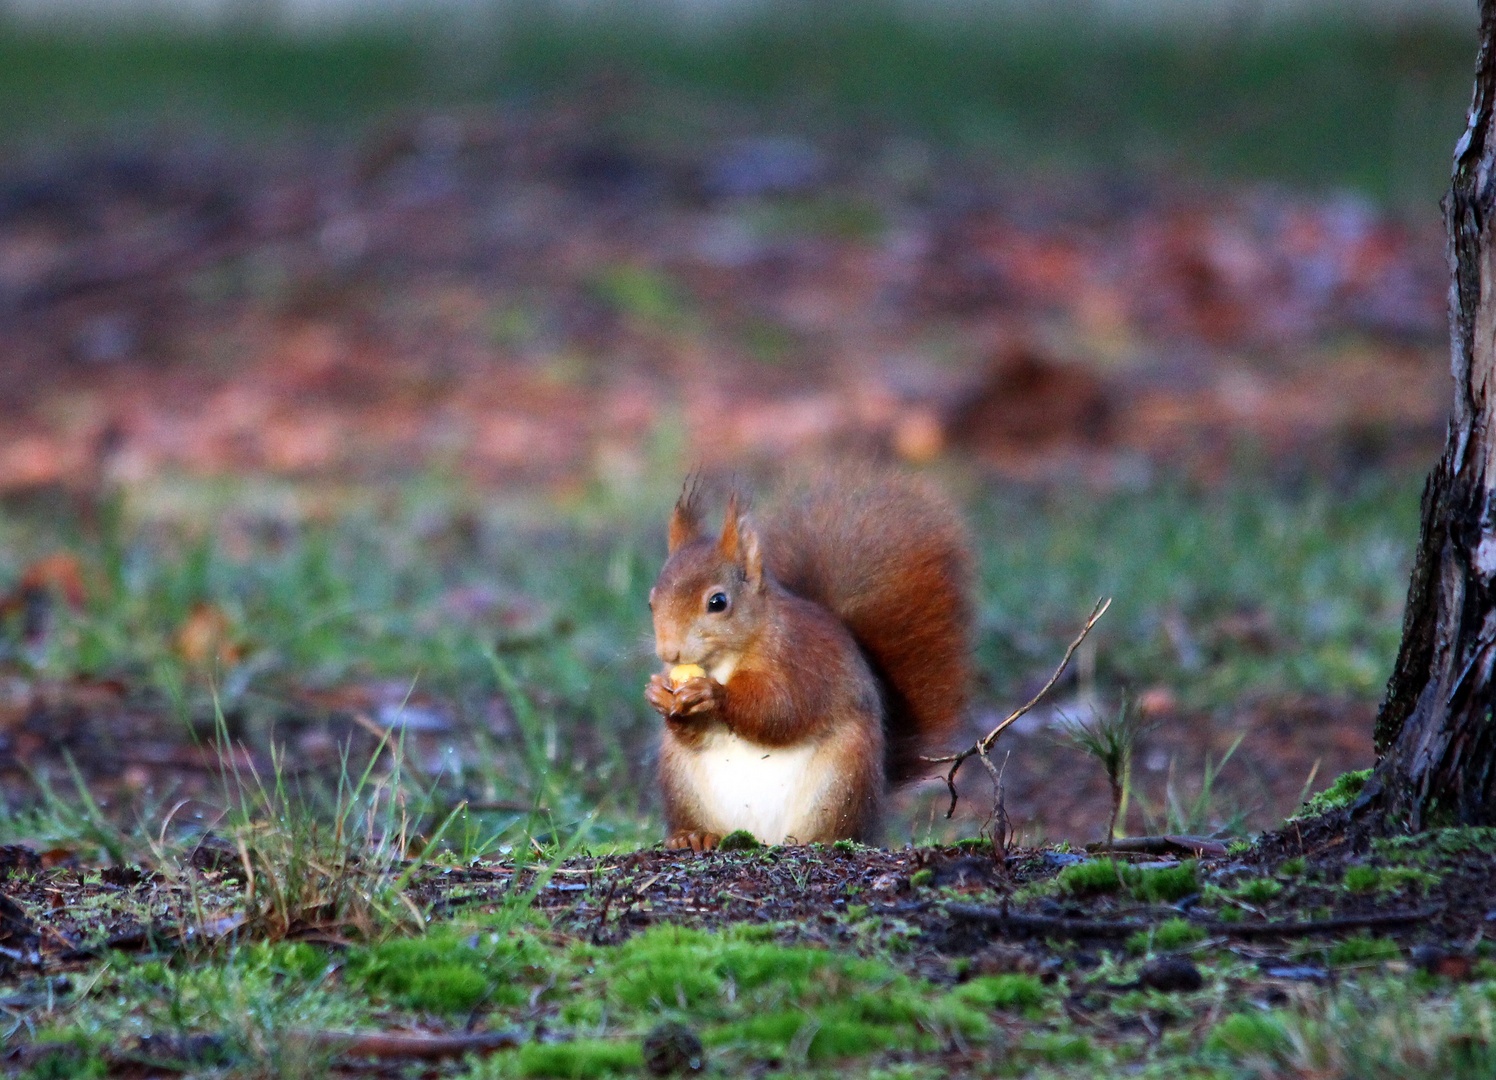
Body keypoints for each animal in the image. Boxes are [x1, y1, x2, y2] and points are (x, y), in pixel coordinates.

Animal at [640, 472, 969, 849]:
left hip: (842, 777)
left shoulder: (803, 660)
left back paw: (820, 840)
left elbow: (783, 709)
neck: (724, 659)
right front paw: (657, 694)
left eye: (718, 602)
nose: (669, 653)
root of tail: (763, 837)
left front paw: (713, 694)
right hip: (682, 780)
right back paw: (694, 836)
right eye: (651, 602)